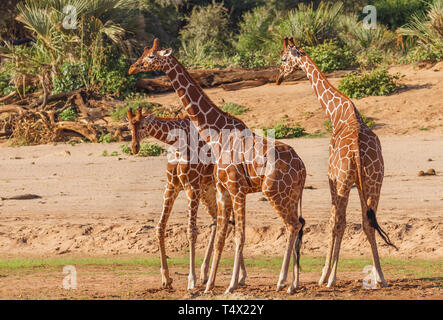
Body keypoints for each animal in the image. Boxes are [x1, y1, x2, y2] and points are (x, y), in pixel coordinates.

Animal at [127, 107, 250, 290]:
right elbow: (160, 227)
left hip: (223, 187)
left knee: (231, 223)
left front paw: (191, 279)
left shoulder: (192, 187)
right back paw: (206, 274)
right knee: (219, 221)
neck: (177, 141)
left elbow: (191, 231)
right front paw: (166, 278)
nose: (134, 147)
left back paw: (240, 276)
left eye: (143, 126)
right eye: (129, 127)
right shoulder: (171, 186)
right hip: (209, 189)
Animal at [278, 37, 398, 288]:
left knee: (341, 222)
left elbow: (334, 222)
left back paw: (332, 278)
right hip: (375, 182)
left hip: (343, 182)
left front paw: (324, 274)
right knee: (368, 221)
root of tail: (357, 154)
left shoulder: (331, 178)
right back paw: (381, 277)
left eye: (283, 59)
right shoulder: (359, 184)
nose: (278, 77)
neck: (337, 113)